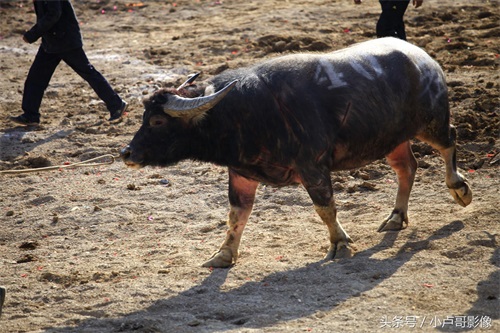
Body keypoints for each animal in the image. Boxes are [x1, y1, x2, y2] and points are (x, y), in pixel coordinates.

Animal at [121, 38, 472, 268]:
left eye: (156, 121)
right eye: (143, 116)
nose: (127, 153)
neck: (247, 112)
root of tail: (424, 59)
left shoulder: (313, 168)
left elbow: (325, 208)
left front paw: (340, 244)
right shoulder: (242, 174)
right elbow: (236, 216)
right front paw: (222, 254)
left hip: (432, 122)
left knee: (450, 141)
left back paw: (460, 189)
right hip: (392, 139)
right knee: (407, 168)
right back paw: (396, 217)